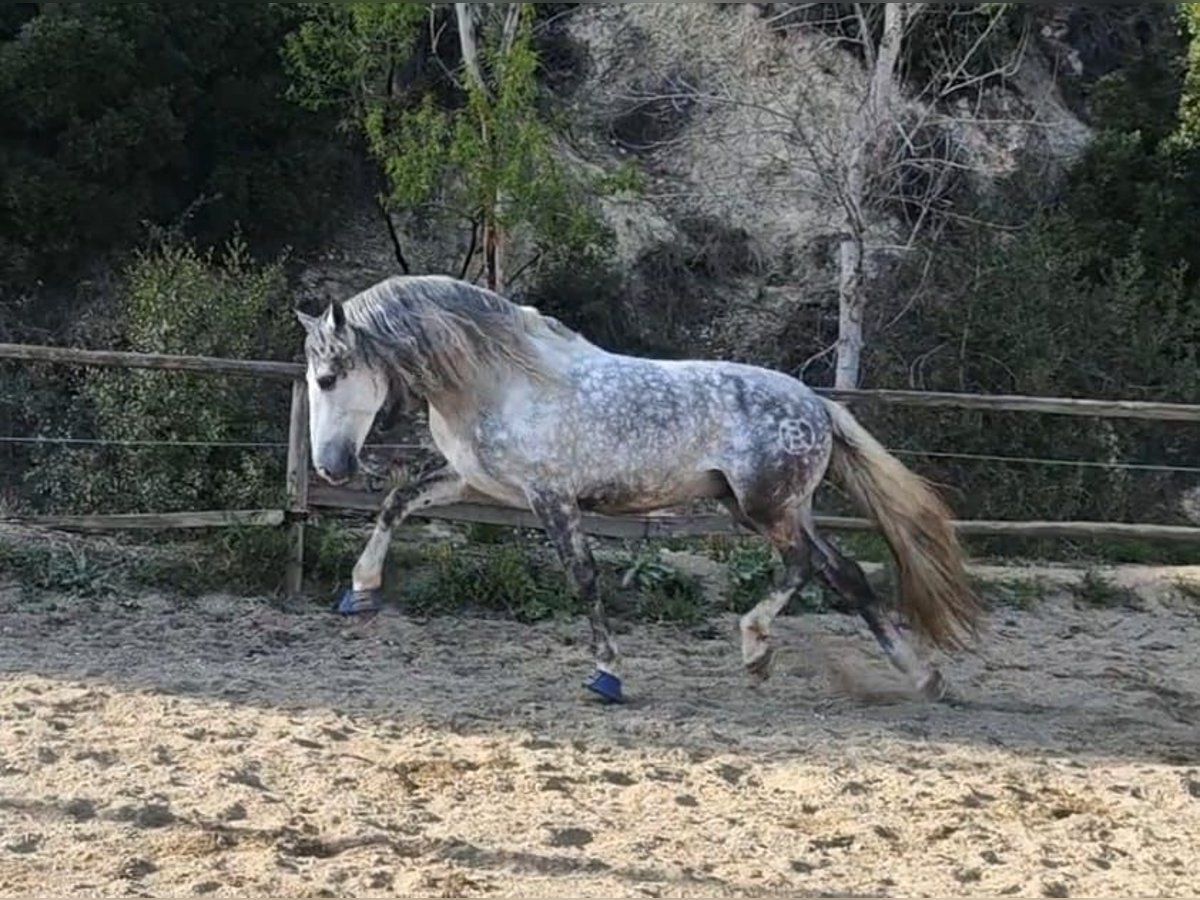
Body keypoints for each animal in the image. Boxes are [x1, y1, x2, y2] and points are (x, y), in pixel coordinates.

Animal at [295, 274, 979, 705]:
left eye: (328, 378)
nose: (330, 468)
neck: (501, 381)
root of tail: (817, 403)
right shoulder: (475, 482)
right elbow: (397, 502)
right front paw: (360, 592)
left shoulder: (552, 499)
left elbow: (584, 578)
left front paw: (607, 676)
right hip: (777, 507)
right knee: (845, 573)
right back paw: (923, 679)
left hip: (765, 508)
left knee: (805, 564)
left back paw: (757, 649)